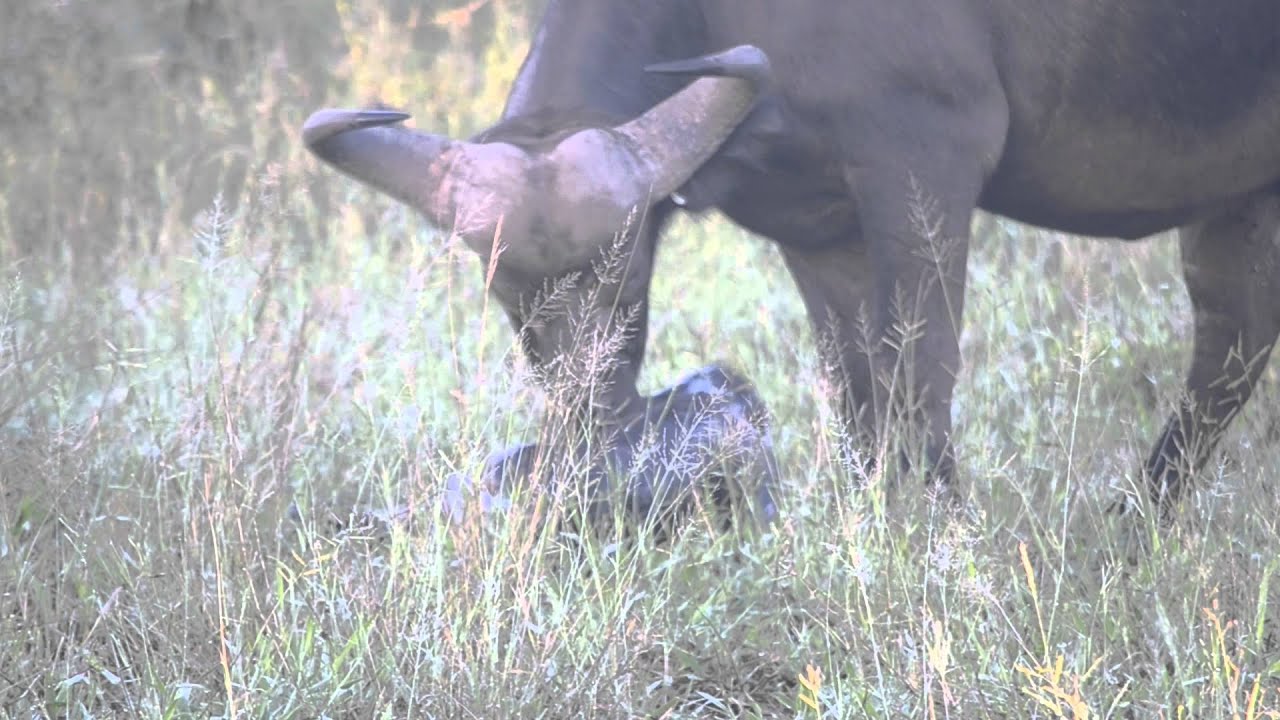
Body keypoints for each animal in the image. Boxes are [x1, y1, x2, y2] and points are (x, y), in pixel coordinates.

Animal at [304, 1, 1280, 520]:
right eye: (513, 304)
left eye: (628, 283)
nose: (594, 439)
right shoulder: (817, 227)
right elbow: (858, 393)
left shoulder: (924, 158)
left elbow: (920, 372)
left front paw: (937, 531)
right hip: (1242, 200)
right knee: (1232, 343)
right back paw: (1135, 521)